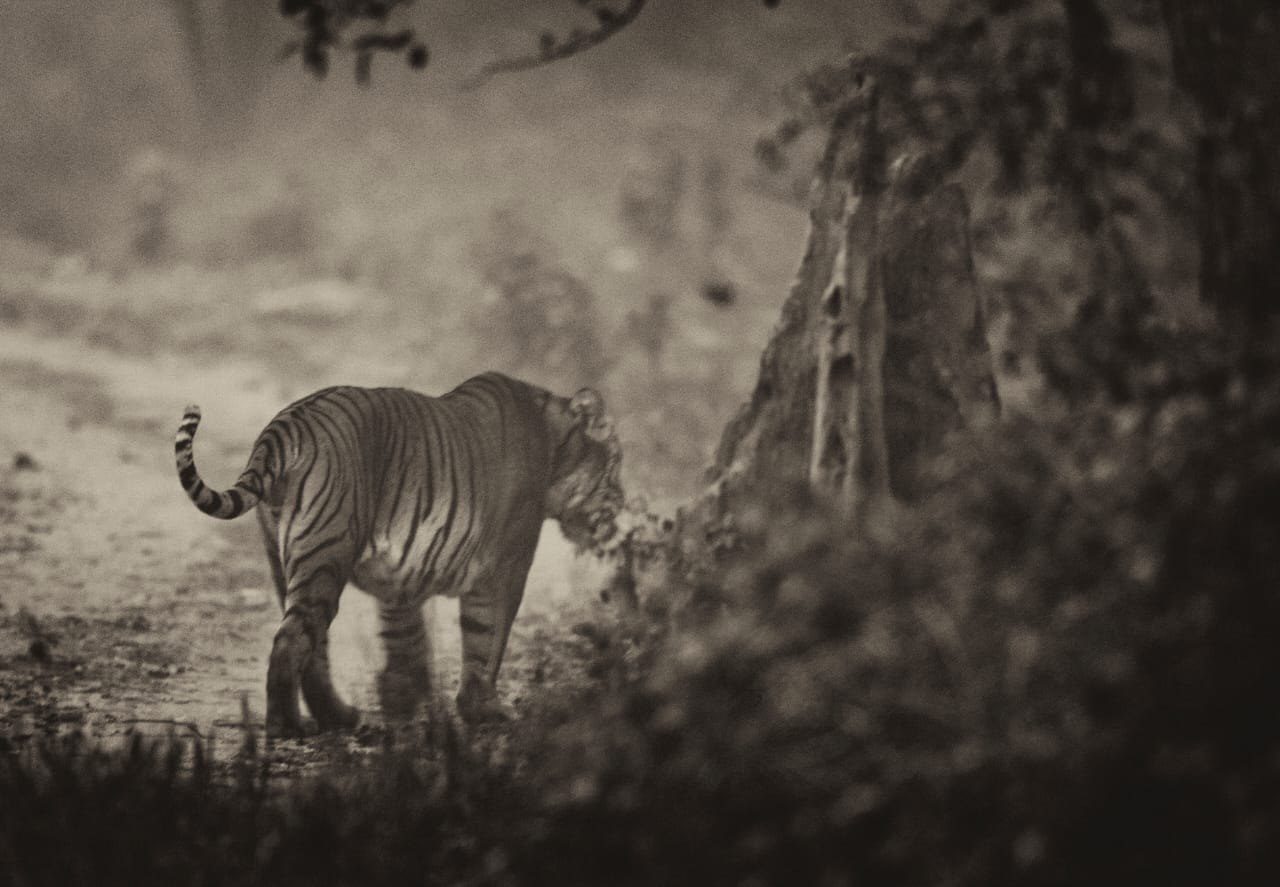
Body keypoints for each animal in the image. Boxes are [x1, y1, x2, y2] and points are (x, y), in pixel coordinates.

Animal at [174, 372, 624, 737]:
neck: (555, 442)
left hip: (289, 564)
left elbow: (407, 637)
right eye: (616, 464)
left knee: (313, 650)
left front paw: (406, 697)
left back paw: (338, 717)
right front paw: (482, 709)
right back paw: (288, 726)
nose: (621, 503)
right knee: (290, 642)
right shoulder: (506, 567)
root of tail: (285, 425)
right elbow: (486, 639)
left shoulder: (402, 572)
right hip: (325, 555)